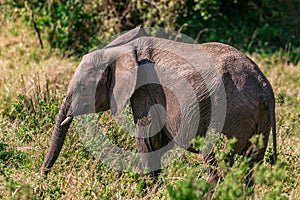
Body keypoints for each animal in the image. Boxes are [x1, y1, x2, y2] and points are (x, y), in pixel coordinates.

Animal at [42, 26, 276, 184]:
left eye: (83, 88)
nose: (43, 175)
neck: (122, 49)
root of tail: (264, 88)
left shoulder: (145, 89)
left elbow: (148, 139)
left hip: (229, 113)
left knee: (216, 163)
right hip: (257, 118)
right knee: (251, 165)